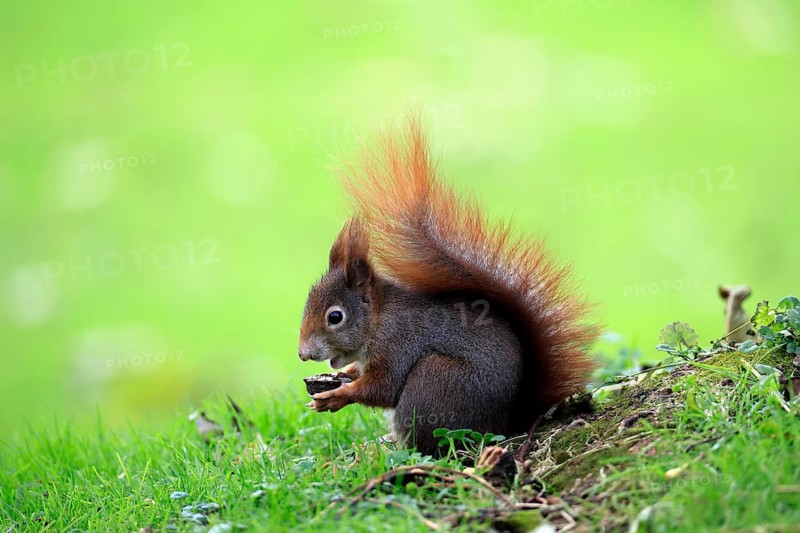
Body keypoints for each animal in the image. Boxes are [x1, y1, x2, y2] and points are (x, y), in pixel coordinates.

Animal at [298, 118, 599, 455]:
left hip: (435, 379)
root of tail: (508, 424)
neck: (377, 318)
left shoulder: (398, 345)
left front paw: (335, 396)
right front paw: (344, 376)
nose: (303, 354)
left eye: (335, 317)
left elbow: (383, 389)